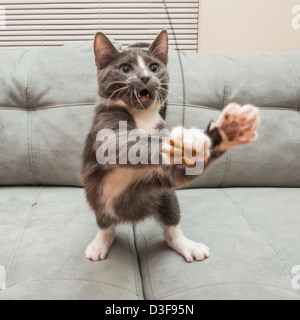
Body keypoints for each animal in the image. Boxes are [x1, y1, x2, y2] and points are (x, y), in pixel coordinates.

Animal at [81, 30, 260, 262]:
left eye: (154, 67)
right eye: (125, 69)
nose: (145, 77)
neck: (144, 118)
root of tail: (131, 216)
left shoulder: (162, 173)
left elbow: (180, 171)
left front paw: (226, 130)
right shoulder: (104, 126)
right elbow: (121, 146)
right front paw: (187, 140)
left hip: (164, 195)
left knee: (171, 225)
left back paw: (186, 244)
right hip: (97, 200)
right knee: (106, 226)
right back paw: (99, 244)